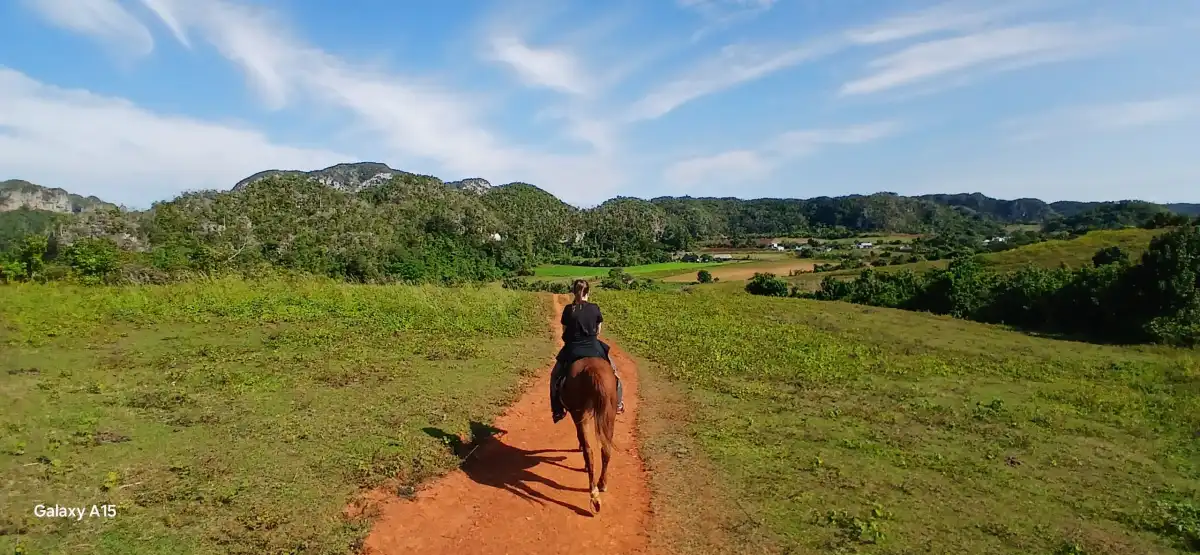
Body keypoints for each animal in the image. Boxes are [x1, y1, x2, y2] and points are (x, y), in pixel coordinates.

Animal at [559, 355, 619, 514]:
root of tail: (593, 370)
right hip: (609, 413)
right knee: (606, 450)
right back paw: (601, 485)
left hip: (580, 413)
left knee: (588, 450)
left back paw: (594, 494)